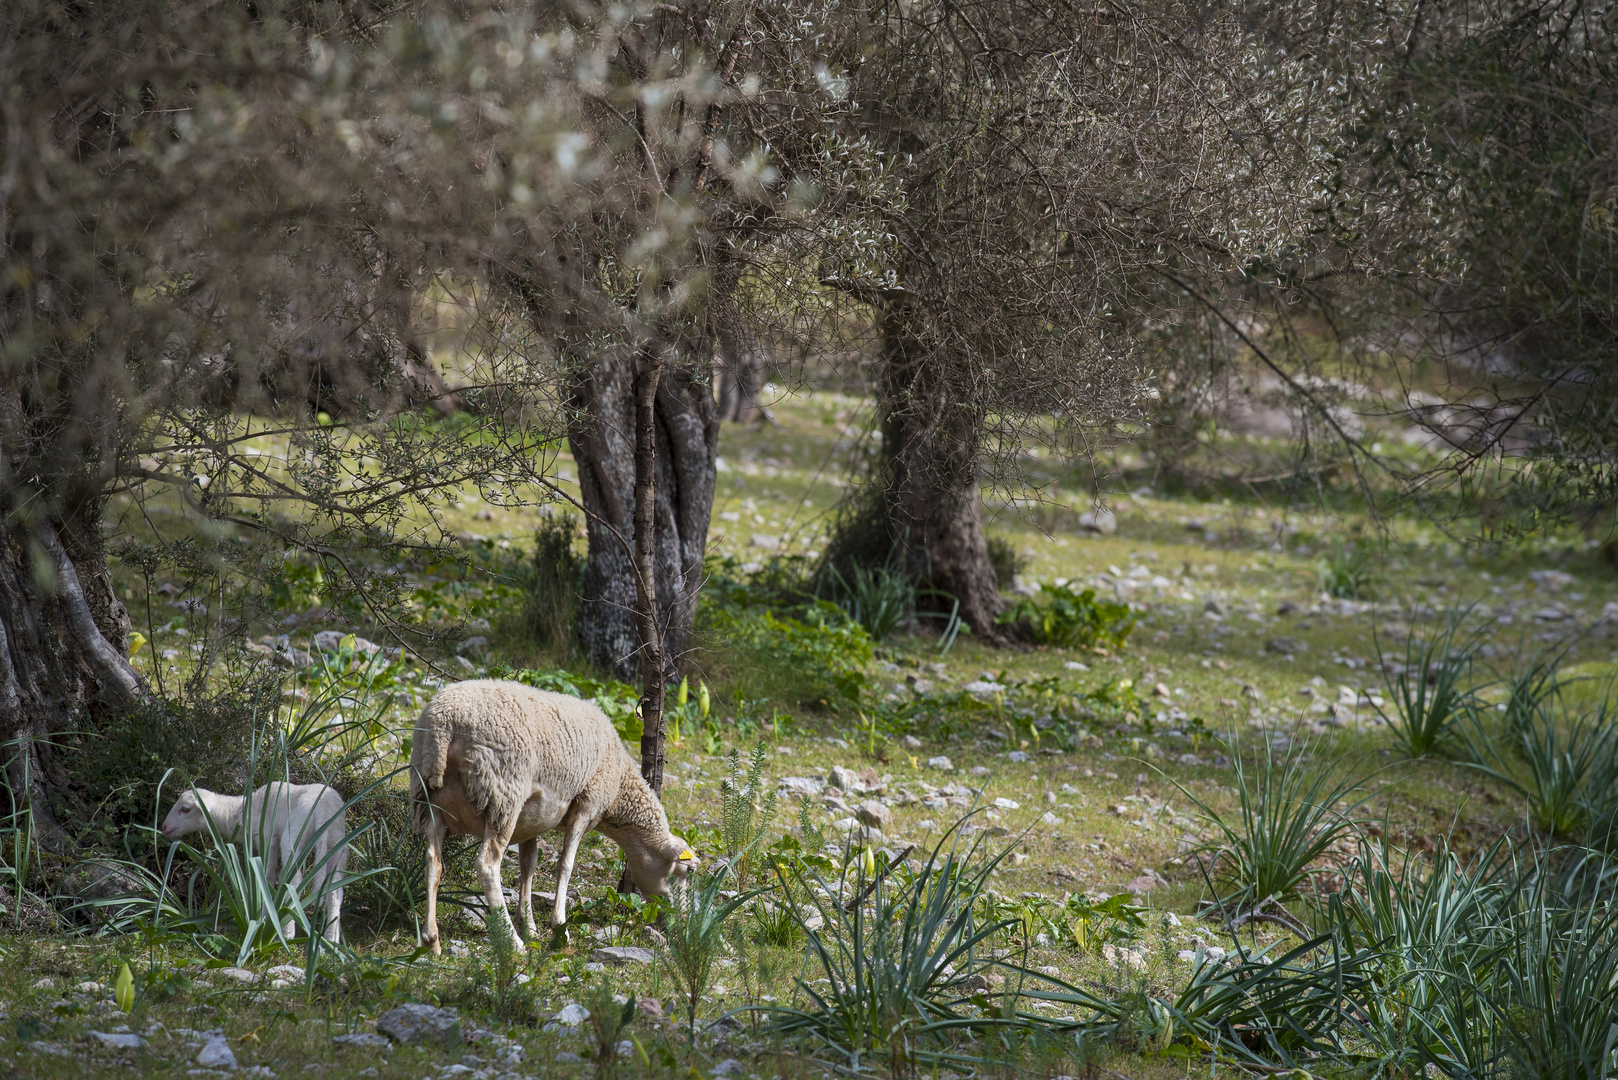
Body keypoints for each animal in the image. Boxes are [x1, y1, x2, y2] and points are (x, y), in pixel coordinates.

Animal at [160, 780, 347, 939]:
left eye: (185, 809)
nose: (164, 827)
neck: (241, 812)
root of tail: (324, 808)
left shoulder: (268, 839)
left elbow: (266, 878)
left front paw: (263, 917)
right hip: (336, 841)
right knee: (335, 889)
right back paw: (331, 938)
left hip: (294, 835)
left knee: (294, 881)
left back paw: (287, 932)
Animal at [407, 683, 692, 952]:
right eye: (687, 871)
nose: (683, 919)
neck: (619, 788)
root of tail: (444, 723)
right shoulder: (587, 804)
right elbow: (565, 865)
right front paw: (558, 927)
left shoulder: (529, 822)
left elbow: (528, 865)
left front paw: (529, 925)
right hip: (502, 794)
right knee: (487, 865)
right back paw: (512, 942)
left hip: (427, 799)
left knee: (433, 863)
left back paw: (432, 940)